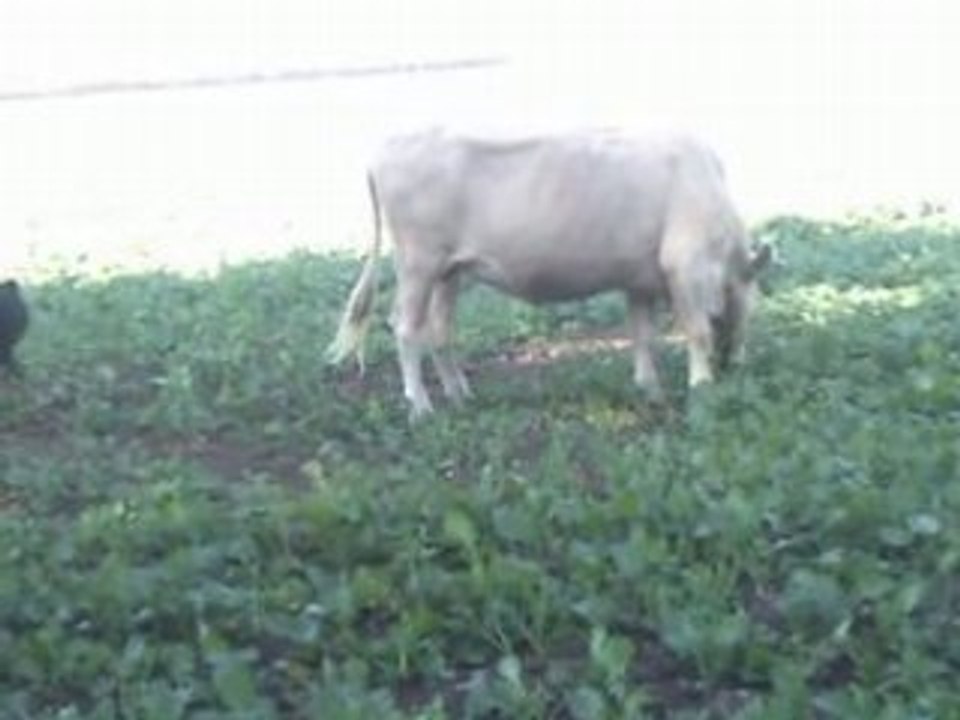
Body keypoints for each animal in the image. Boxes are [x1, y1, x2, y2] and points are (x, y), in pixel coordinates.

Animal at [327, 127, 770, 417]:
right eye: (751, 304)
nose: (735, 364)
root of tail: (390, 143)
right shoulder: (685, 264)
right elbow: (697, 330)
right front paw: (702, 386)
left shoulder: (639, 279)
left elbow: (642, 335)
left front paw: (650, 388)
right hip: (418, 263)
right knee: (406, 328)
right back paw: (421, 405)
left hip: (448, 271)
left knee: (439, 331)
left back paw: (458, 393)